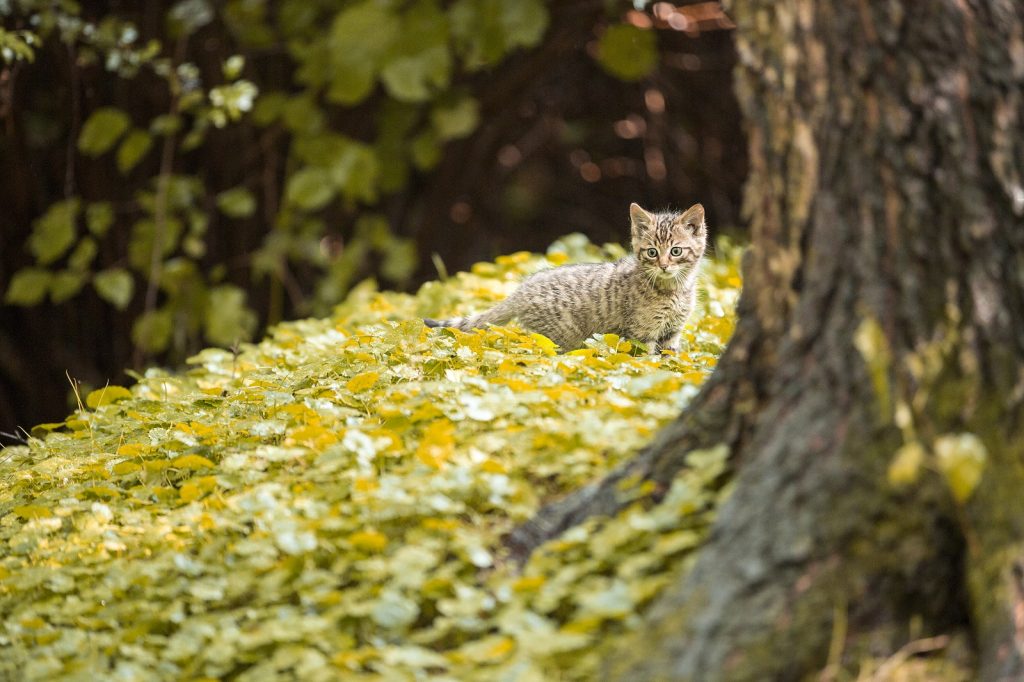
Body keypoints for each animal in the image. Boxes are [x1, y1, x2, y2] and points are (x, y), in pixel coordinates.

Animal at [421, 200, 704, 350]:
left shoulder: (672, 334)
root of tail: (520, 291)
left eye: (676, 251)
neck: (674, 290)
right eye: (652, 252)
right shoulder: (641, 335)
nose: (664, 266)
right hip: (564, 337)